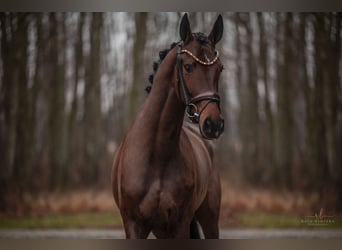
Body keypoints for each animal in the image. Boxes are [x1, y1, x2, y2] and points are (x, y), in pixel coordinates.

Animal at [111, 13, 224, 238]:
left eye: (220, 68)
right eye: (188, 67)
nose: (213, 124)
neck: (157, 153)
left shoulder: (179, 224)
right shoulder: (134, 225)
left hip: (208, 218)